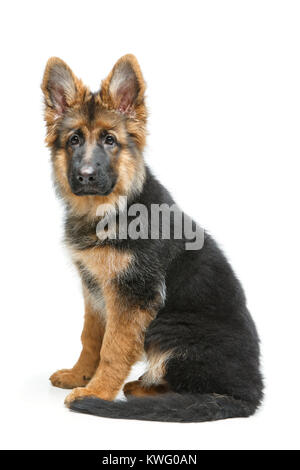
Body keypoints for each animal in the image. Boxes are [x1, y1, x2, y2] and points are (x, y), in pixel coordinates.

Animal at [41, 55, 262, 422]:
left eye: (110, 140)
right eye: (74, 140)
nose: (85, 176)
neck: (111, 209)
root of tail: (252, 395)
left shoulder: (133, 297)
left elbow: (113, 348)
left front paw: (97, 392)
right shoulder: (94, 288)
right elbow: (91, 337)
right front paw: (80, 375)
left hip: (168, 326)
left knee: (195, 391)